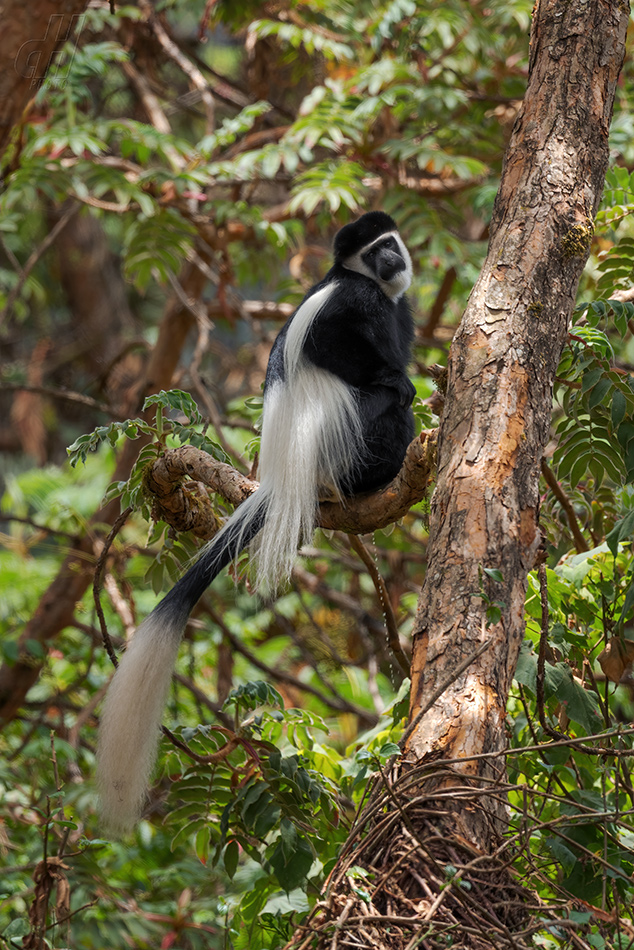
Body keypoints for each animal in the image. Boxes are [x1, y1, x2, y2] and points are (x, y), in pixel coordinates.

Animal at [97, 214, 414, 832]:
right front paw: (400, 377)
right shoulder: (356, 301)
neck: (367, 283)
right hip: (349, 448)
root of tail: (286, 478)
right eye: (375, 251)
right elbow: (334, 348)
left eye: (390, 244)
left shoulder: (399, 307)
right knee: (389, 409)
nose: (391, 261)